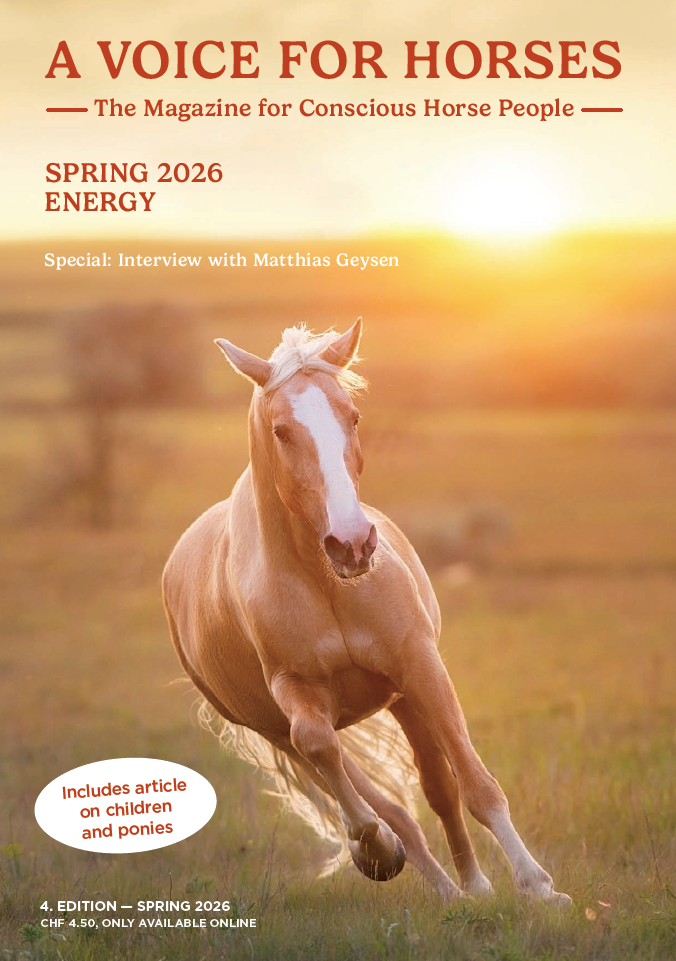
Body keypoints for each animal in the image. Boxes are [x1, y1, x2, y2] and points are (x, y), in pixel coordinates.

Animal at [162, 320, 571, 904]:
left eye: (352, 417)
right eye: (281, 431)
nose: (352, 543)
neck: (326, 582)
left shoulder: (419, 665)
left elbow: (476, 786)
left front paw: (539, 888)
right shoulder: (295, 692)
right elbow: (330, 757)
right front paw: (373, 849)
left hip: (403, 698)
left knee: (438, 790)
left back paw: (472, 889)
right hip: (275, 729)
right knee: (378, 798)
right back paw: (436, 883)